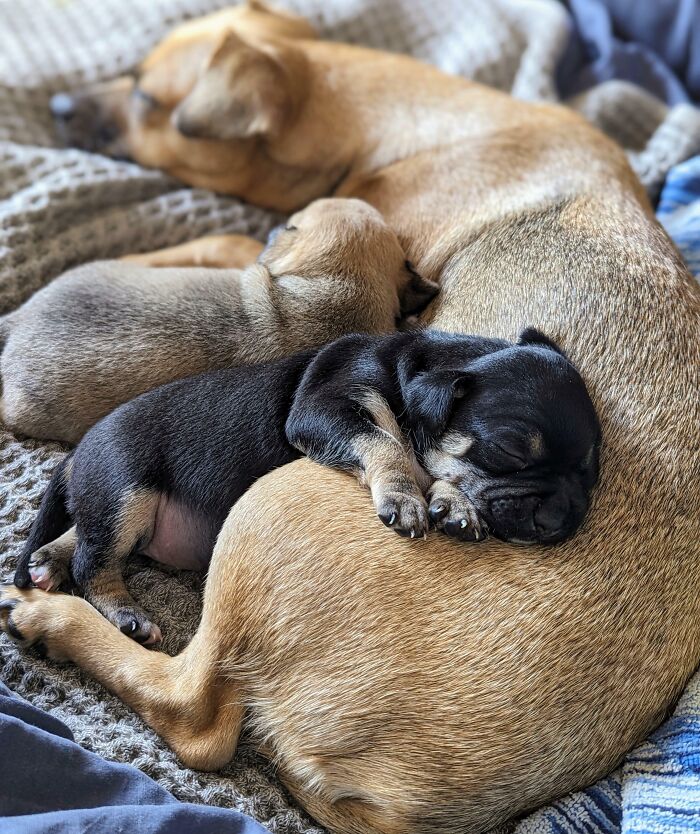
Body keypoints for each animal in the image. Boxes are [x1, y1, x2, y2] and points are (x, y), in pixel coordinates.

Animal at [12, 324, 596, 644]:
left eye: (591, 470)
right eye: (511, 451)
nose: (559, 518)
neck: (413, 372)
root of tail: (76, 456)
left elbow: (443, 470)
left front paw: (453, 503)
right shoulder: (323, 410)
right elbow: (386, 442)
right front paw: (406, 495)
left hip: (119, 509)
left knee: (82, 537)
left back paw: (47, 562)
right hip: (127, 490)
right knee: (94, 564)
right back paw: (126, 614)